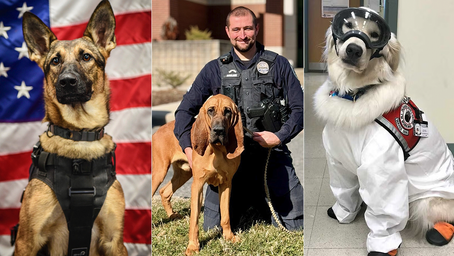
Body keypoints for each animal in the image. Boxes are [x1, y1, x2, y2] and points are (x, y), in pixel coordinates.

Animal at [14, 1, 127, 255]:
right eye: (55, 61)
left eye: (86, 57)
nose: (67, 81)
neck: (79, 135)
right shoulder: (27, 241)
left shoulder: (114, 240)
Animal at [152, 94, 245, 256]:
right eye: (210, 110)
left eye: (228, 111)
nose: (218, 131)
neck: (217, 150)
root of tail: (158, 131)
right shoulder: (198, 185)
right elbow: (194, 220)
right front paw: (193, 246)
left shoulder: (227, 183)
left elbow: (225, 216)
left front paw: (229, 237)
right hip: (159, 171)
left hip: (183, 174)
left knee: (164, 191)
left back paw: (172, 215)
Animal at [316, 11, 454, 256]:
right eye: (348, 25)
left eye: (375, 35)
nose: (354, 49)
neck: (354, 94)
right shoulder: (338, 161)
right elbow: (345, 190)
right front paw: (343, 212)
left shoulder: (381, 169)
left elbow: (384, 212)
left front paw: (382, 246)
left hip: (425, 202)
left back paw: (439, 231)